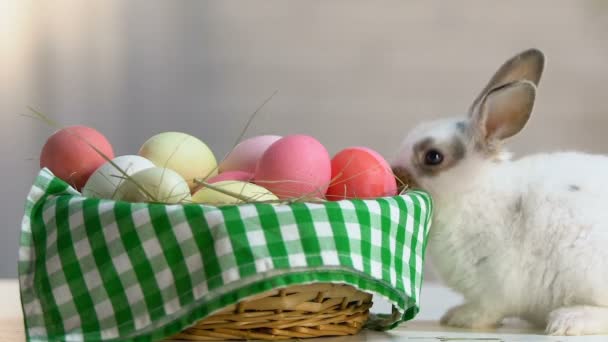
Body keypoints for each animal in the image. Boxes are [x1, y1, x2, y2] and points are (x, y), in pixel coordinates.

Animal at [392, 49, 608, 336]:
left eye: (433, 156)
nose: (394, 171)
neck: (471, 191)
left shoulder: (494, 287)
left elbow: (487, 310)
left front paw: (460, 317)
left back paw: (568, 319)